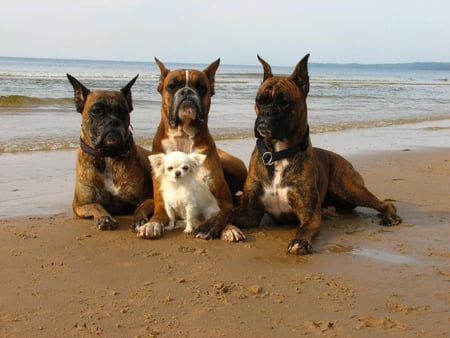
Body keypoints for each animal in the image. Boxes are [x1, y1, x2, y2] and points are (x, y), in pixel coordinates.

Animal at [67, 74, 155, 230]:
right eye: (96, 111)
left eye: (122, 111)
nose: (113, 121)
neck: (107, 155)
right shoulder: (80, 205)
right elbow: (96, 206)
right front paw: (104, 218)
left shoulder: (148, 199)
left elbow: (141, 208)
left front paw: (139, 219)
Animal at [134, 59, 246, 242]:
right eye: (172, 86)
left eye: (201, 87)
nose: (186, 91)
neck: (184, 137)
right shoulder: (162, 197)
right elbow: (160, 213)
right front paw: (152, 224)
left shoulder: (223, 200)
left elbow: (222, 213)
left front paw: (227, 229)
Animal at [232, 55, 400, 255]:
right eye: (259, 100)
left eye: (284, 102)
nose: (266, 112)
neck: (278, 153)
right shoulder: (249, 213)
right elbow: (227, 216)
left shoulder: (310, 215)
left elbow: (304, 229)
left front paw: (299, 242)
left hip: (349, 188)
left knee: (384, 203)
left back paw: (390, 216)